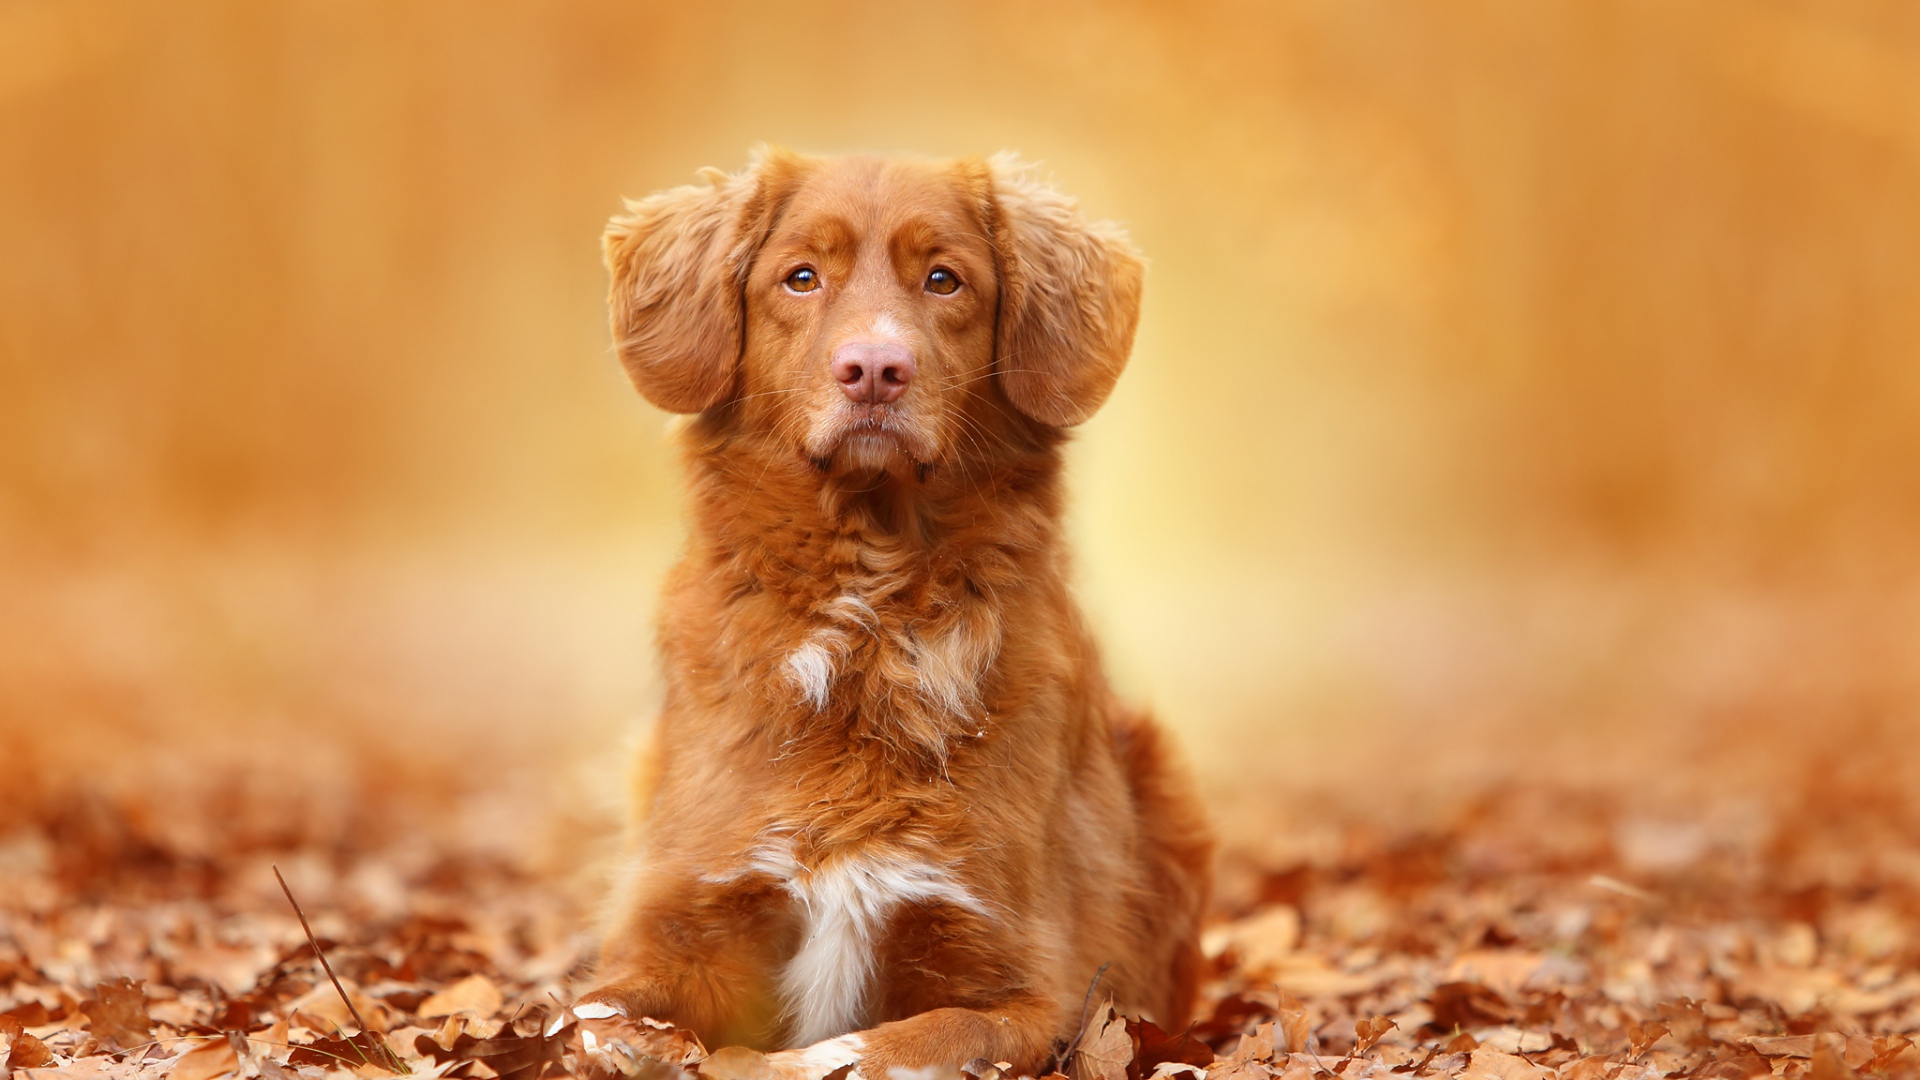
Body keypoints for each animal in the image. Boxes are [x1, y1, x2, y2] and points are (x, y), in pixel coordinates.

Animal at [572, 148, 1213, 1076]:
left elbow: (865, 1049)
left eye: (944, 280)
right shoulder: (684, 926)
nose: (875, 368)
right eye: (802, 277)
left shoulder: (1027, 992)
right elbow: (593, 1018)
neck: (868, 620)